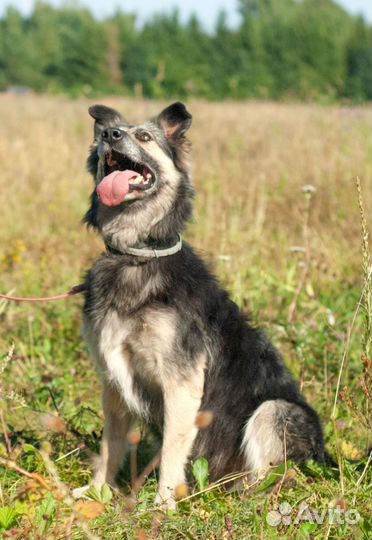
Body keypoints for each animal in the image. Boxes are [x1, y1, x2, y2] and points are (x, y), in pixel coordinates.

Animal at [76, 102, 326, 510]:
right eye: (105, 136)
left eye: (143, 136)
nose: (109, 135)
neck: (137, 256)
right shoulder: (113, 381)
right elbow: (110, 445)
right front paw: (97, 493)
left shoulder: (182, 383)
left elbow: (172, 451)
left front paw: (162, 505)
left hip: (274, 411)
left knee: (273, 477)